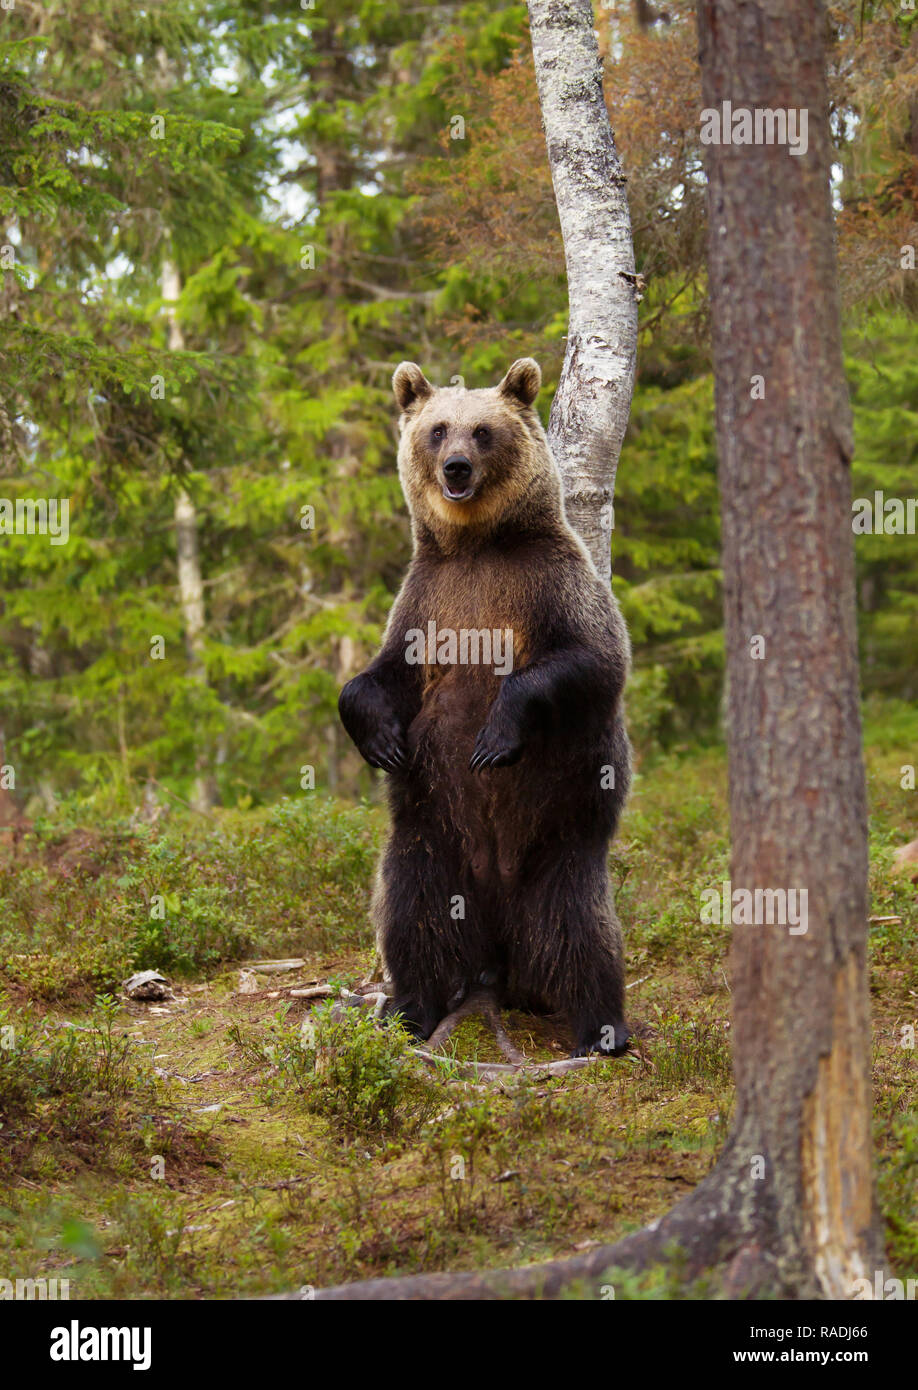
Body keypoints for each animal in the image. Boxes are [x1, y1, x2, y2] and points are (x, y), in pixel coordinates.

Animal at [338, 358, 632, 1056]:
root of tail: (498, 942)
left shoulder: (550, 585)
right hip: (432, 839)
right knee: (411, 914)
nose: (456, 469)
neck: (477, 547)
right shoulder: (427, 600)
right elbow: (382, 677)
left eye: (484, 431)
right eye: (437, 429)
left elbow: (592, 660)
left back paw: (600, 1028)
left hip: (558, 842)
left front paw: (494, 739)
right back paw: (409, 1010)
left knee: (579, 929)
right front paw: (380, 740)